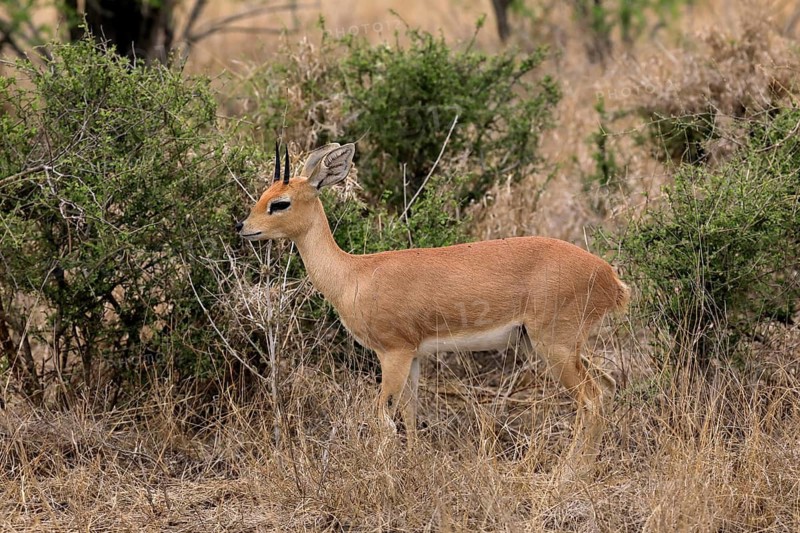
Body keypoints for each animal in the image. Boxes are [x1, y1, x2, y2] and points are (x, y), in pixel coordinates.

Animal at [237, 142, 629, 461]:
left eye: (280, 203)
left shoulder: (393, 353)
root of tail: (610, 277)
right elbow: (409, 415)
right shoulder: (413, 357)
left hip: (555, 347)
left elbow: (382, 419)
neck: (355, 275)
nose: (243, 227)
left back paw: (567, 474)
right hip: (558, 346)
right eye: (263, 194)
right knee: (608, 386)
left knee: (592, 400)